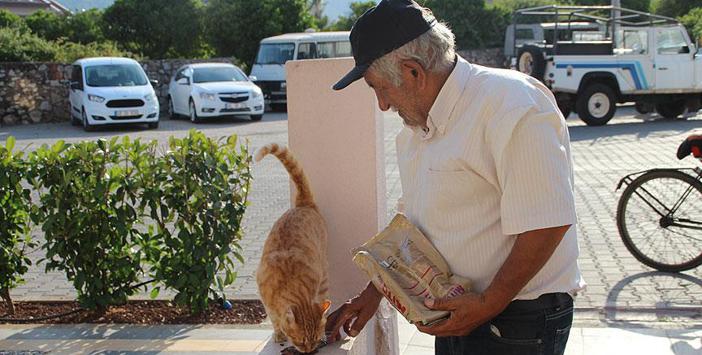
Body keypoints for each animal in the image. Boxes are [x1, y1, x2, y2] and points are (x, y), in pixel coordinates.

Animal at [256, 143, 332, 354]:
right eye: (301, 341)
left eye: (315, 340)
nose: (309, 351)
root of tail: (304, 204)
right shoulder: (264, 297)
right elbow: (273, 318)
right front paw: (278, 333)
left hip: (324, 271)